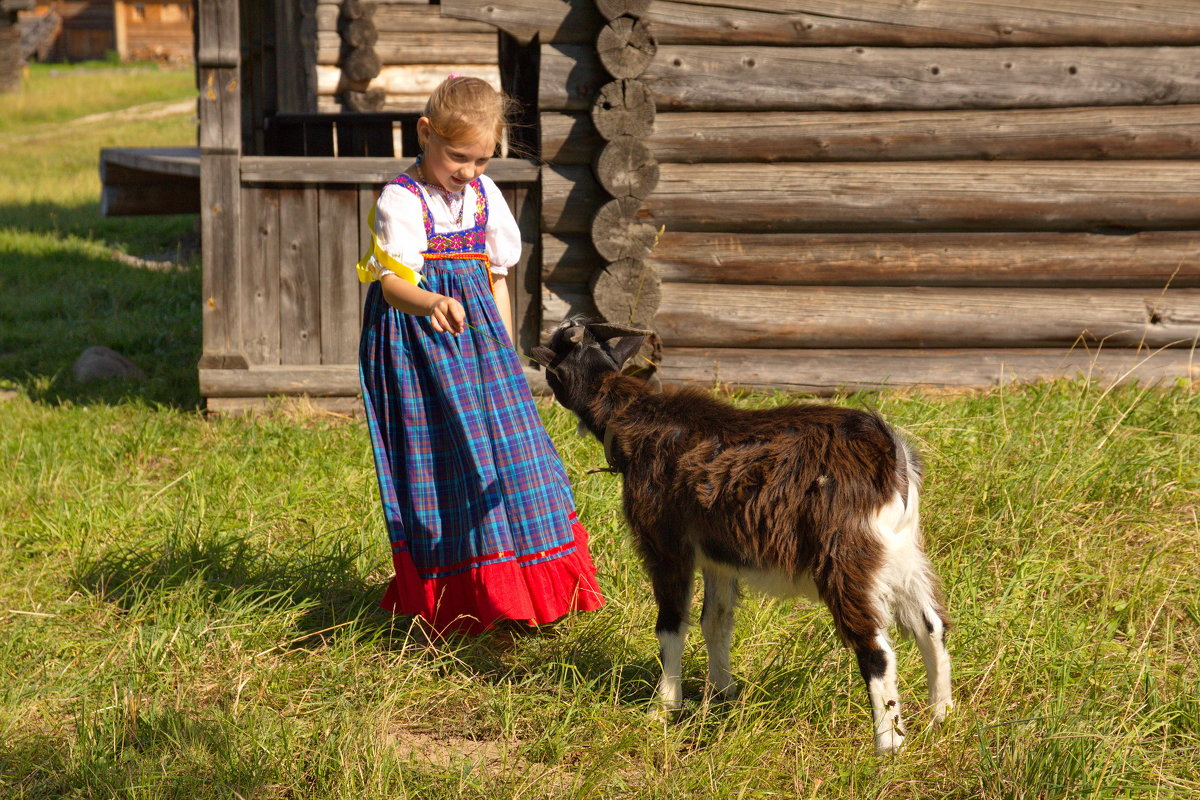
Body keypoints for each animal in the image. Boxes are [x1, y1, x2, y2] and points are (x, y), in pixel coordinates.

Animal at [535, 319, 955, 758]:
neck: (632, 418)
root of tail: (889, 452)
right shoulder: (719, 557)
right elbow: (715, 621)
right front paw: (724, 696)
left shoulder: (667, 545)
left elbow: (671, 623)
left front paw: (662, 709)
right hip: (899, 551)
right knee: (931, 625)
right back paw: (940, 716)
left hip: (846, 555)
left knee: (877, 649)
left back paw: (887, 745)